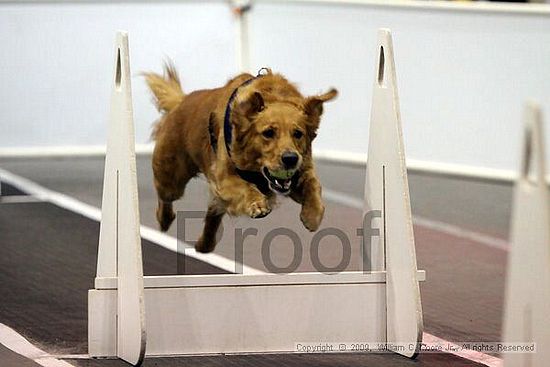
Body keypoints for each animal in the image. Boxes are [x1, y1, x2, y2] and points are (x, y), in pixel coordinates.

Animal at [144, 64, 338, 253]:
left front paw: (312, 214)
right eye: (268, 133)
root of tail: (181, 101)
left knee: (213, 212)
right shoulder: (224, 177)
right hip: (171, 178)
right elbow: (245, 187)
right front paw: (257, 203)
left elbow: (313, 185)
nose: (290, 159)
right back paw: (164, 219)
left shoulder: (301, 170)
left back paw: (205, 244)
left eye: (298, 133)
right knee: (166, 198)